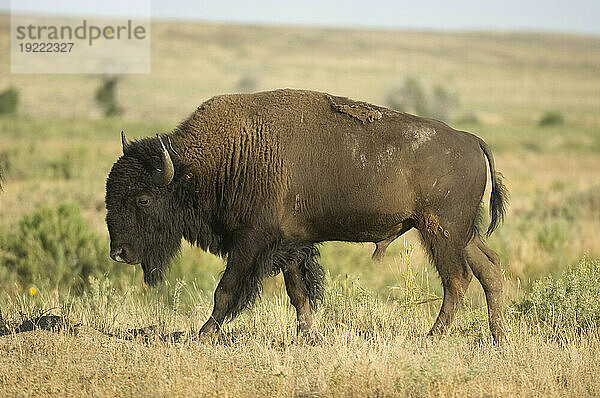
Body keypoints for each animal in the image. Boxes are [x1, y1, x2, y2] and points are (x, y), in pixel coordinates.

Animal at [105, 90, 508, 342]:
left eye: (143, 199)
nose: (119, 252)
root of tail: (472, 140)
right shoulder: (291, 245)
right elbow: (298, 292)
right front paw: (305, 334)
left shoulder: (252, 243)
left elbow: (226, 290)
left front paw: (204, 334)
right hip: (463, 233)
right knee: (489, 270)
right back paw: (497, 337)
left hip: (440, 230)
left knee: (457, 278)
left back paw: (434, 335)